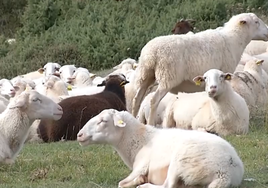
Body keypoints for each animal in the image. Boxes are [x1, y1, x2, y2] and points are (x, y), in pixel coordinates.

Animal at [76, 108, 244, 188]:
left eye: (103, 121)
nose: (79, 135)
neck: (140, 140)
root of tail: (225, 172)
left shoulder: (141, 165)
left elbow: (121, 184)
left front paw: (138, 181)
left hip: (181, 159)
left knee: (167, 185)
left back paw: (144, 185)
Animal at [132, 12, 268, 125]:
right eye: (256, 22)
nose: (267, 32)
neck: (233, 39)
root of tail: (150, 54)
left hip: (146, 76)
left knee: (136, 99)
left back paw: (133, 119)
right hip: (167, 77)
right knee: (153, 101)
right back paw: (150, 124)